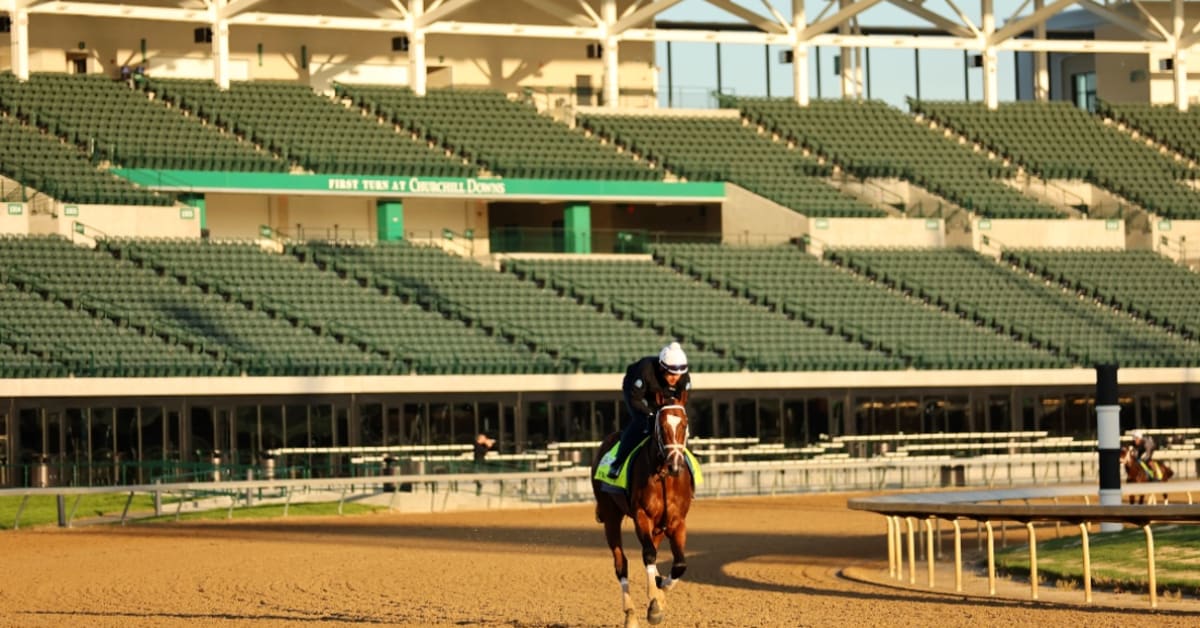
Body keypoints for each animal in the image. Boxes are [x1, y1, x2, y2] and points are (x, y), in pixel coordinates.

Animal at [590, 396, 696, 624]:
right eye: (661, 425)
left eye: (684, 424)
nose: (675, 465)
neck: (664, 477)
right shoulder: (641, 516)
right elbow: (648, 554)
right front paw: (655, 601)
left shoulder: (676, 521)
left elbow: (679, 564)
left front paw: (659, 593)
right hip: (611, 515)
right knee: (621, 562)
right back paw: (630, 614)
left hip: (657, 527)